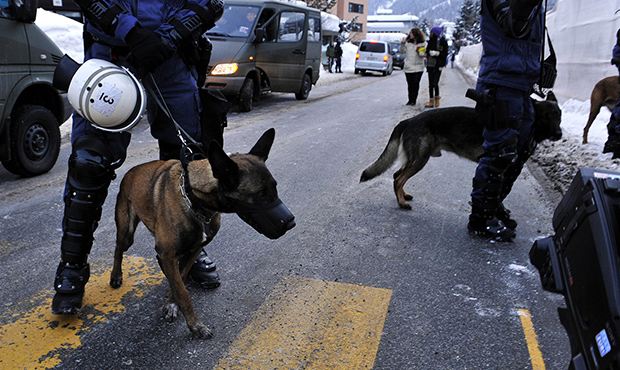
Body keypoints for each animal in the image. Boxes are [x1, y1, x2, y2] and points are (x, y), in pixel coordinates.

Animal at [109, 129, 296, 338]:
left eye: (275, 188)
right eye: (260, 195)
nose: (291, 222)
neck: (193, 198)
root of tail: (131, 171)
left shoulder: (194, 250)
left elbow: (181, 279)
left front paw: (172, 303)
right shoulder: (168, 254)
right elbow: (183, 292)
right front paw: (194, 325)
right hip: (127, 232)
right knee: (118, 249)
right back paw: (115, 276)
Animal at [360, 92, 564, 210]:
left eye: (559, 116)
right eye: (547, 116)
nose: (559, 134)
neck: (525, 124)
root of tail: (409, 120)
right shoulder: (504, 169)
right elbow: (498, 195)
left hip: (416, 159)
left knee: (397, 175)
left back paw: (403, 197)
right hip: (420, 159)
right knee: (398, 178)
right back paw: (401, 203)